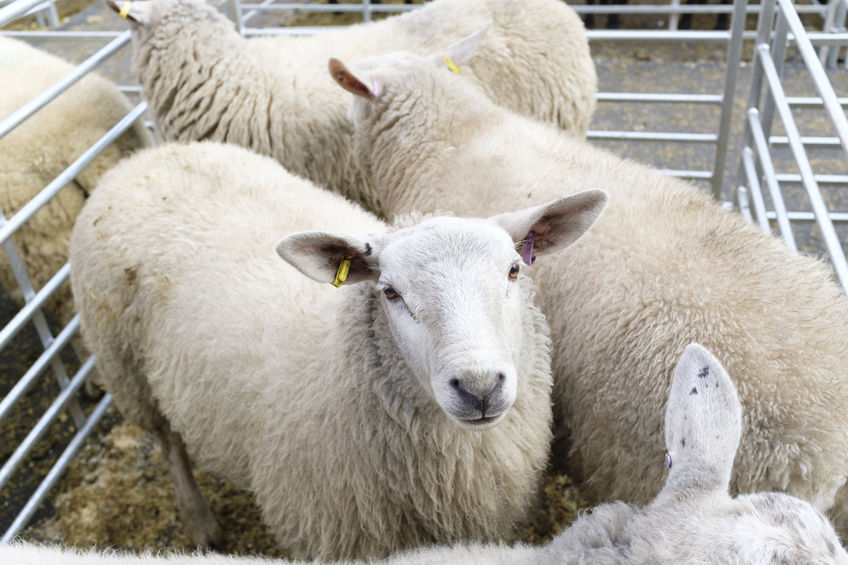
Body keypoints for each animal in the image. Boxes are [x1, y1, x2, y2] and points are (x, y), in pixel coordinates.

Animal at [68, 140, 608, 559]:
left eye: (514, 270)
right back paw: (200, 522)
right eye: (389, 292)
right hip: (127, 367)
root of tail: (143, 159)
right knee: (169, 442)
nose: (479, 387)